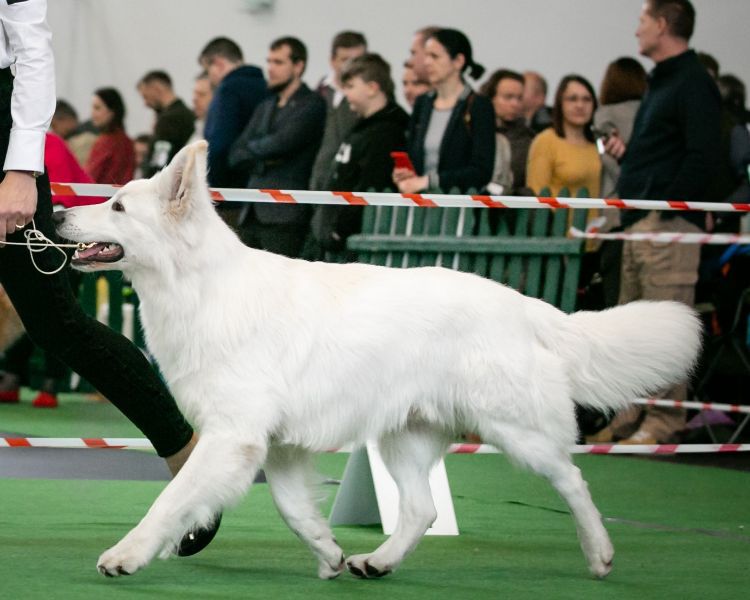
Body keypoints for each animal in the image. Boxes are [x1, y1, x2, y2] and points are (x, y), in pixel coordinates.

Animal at [54, 141, 704, 580]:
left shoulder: (234, 436)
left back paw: (600, 553)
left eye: (116, 206)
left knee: (573, 479)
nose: (55, 214)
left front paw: (127, 554)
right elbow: (292, 508)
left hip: (516, 431)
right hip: (405, 438)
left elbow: (171, 499)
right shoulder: (276, 444)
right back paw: (379, 561)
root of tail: (522, 304)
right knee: (421, 508)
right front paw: (327, 552)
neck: (201, 287)